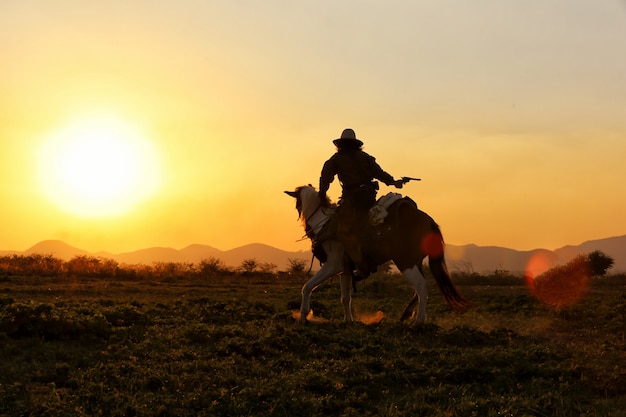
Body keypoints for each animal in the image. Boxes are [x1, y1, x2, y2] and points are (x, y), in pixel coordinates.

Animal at [284, 184, 472, 324]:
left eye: (297, 204)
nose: (303, 221)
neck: (325, 223)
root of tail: (429, 221)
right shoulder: (345, 269)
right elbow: (345, 297)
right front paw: (348, 320)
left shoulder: (332, 265)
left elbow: (307, 286)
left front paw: (303, 316)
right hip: (416, 262)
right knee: (418, 290)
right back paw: (407, 315)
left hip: (406, 262)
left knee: (421, 286)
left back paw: (418, 322)